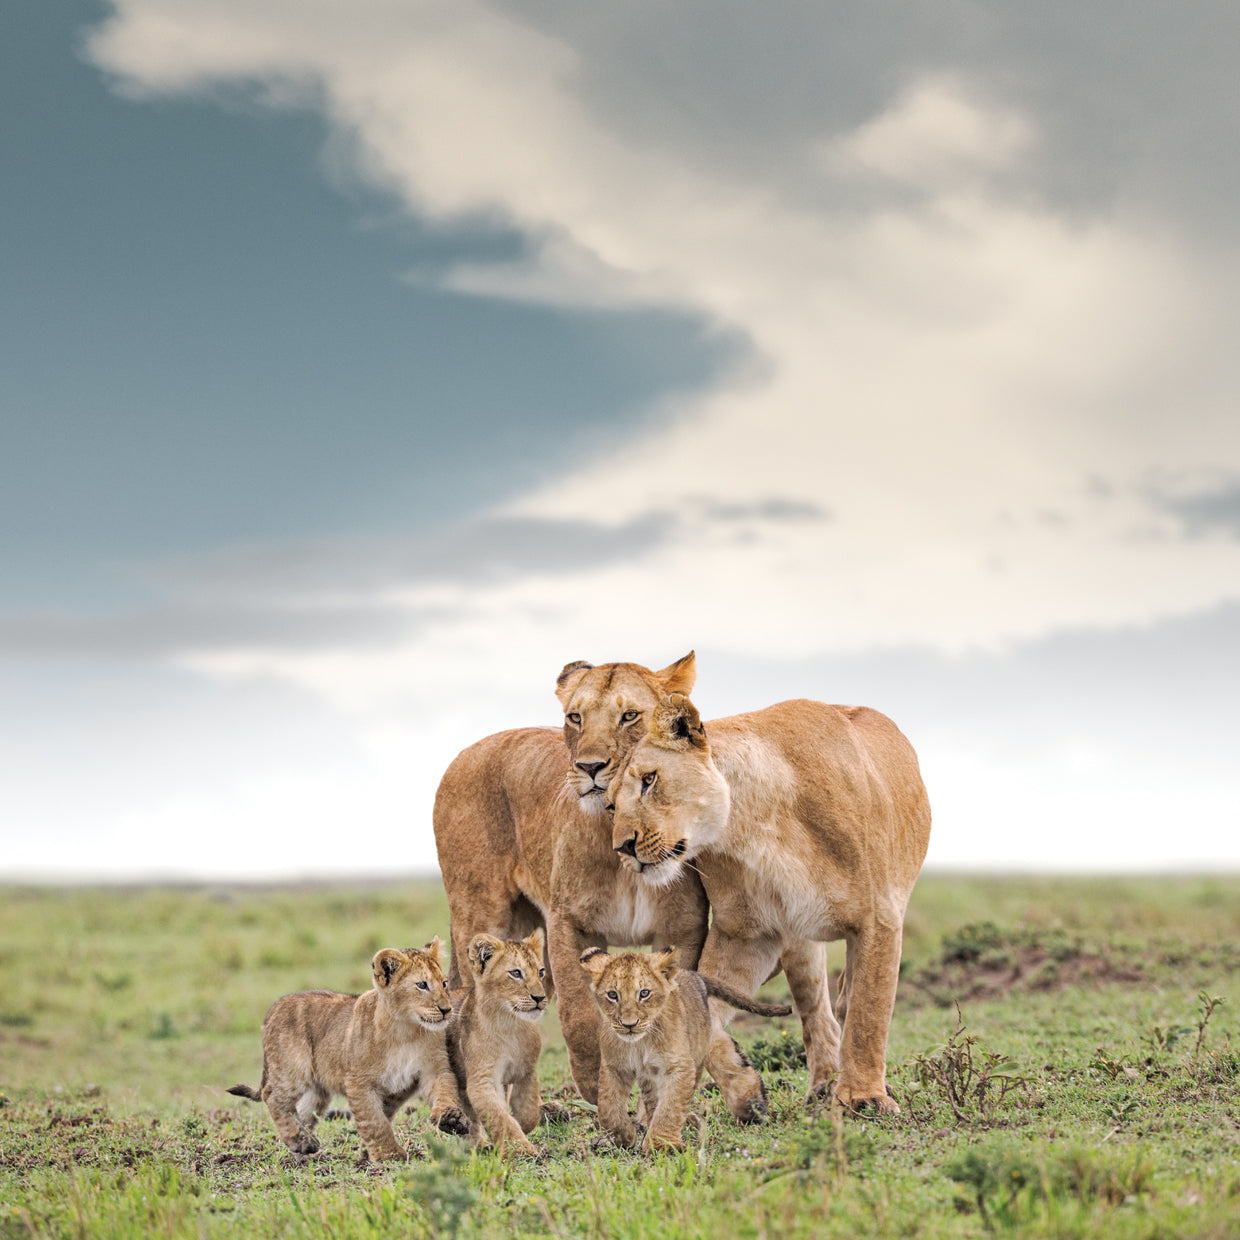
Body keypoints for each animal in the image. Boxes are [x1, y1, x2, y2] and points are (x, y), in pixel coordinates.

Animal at [227, 938, 468, 1162]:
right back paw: (300, 1140)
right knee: (273, 1096)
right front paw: (389, 1155)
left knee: (304, 1110)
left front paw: (451, 1118)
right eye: (422, 985)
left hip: (318, 1089)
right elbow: (374, 1121)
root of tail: (273, 1010)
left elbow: (444, 1091)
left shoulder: (433, 1069)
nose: (447, 1010)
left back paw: (302, 1146)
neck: (406, 1031)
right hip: (292, 1069)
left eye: (444, 983)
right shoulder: (359, 1081)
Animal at [432, 652, 709, 1103]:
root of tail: (468, 750)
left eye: (629, 716)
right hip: (481, 912)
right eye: (575, 717)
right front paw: (597, 1087)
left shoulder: (681, 930)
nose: (589, 767)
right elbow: (580, 1013)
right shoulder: (570, 925)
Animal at [447, 929, 549, 1157]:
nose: (540, 998)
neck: (510, 1024)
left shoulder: (526, 1071)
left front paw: (523, 1124)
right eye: (516, 973)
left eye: (541, 972)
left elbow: (530, 1109)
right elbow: (499, 1117)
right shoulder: (482, 1080)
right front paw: (520, 1149)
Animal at [580, 947, 792, 1153]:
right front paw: (622, 1137)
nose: (629, 1024)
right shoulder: (614, 1067)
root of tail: (694, 975)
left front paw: (662, 1145)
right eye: (612, 995)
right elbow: (608, 1107)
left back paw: (755, 1107)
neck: (639, 1042)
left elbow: (670, 1107)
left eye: (644, 993)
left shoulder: (680, 1066)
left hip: (701, 1045)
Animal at [606, 693, 931, 1117]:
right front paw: (747, 1091)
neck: (752, 822)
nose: (623, 847)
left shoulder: (879, 918)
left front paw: (865, 1099)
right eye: (610, 806)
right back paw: (822, 1088)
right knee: (818, 1015)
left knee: (848, 1002)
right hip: (800, 944)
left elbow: (868, 1012)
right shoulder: (747, 936)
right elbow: (702, 1014)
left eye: (649, 779)